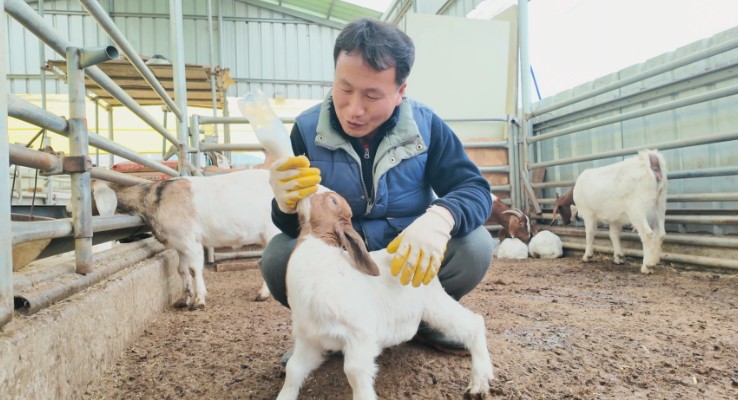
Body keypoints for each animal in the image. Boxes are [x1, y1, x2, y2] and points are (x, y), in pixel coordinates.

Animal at [278, 188, 494, 400]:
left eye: (333, 201)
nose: (307, 191)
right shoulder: (309, 339)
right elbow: (294, 369)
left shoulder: (360, 337)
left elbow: (354, 372)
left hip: (435, 304)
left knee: (474, 323)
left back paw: (479, 383)